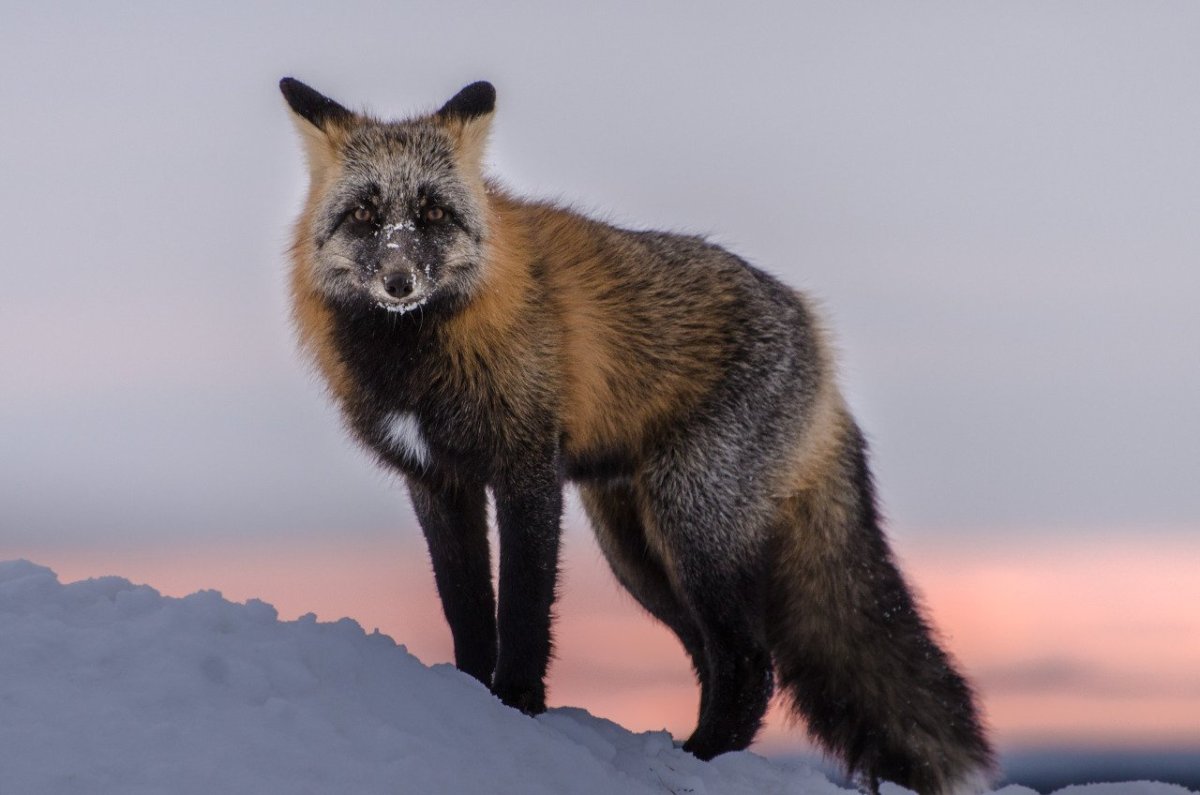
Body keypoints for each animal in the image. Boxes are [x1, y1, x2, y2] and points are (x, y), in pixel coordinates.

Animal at [279, 77, 994, 794]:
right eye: (365, 216)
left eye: (431, 214)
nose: (399, 282)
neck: (417, 362)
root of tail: (815, 330)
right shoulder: (436, 481)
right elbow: (467, 609)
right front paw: (469, 700)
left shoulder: (527, 468)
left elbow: (524, 606)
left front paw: (517, 704)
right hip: (639, 555)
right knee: (713, 655)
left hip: (691, 528)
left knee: (750, 661)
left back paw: (703, 755)